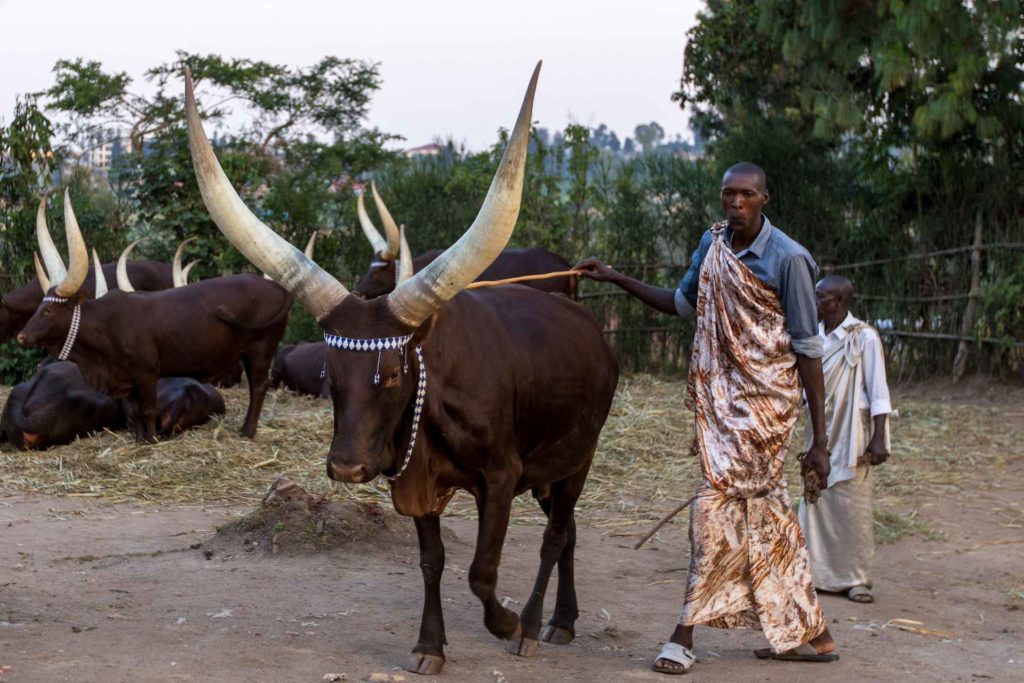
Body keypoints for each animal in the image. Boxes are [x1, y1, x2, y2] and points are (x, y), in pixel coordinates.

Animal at [16, 191, 292, 444]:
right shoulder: (126, 381)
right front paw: (140, 439)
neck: (104, 327)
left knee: (258, 387)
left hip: (262, 349)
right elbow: (133, 411)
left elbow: (147, 409)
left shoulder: (146, 374)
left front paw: (151, 440)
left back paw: (247, 431)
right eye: (40, 307)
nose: (22, 336)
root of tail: (278, 288)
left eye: (49, 311)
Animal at [187, 63, 614, 679]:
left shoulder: (501, 477)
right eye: (329, 374)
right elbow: (432, 560)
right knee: (571, 531)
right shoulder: (417, 478)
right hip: (550, 470)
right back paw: (564, 620)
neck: (432, 402)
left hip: (578, 458)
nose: (345, 467)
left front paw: (507, 623)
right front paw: (429, 645)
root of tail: (591, 328)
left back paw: (534, 625)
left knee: (556, 536)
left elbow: (481, 571)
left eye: (391, 374)